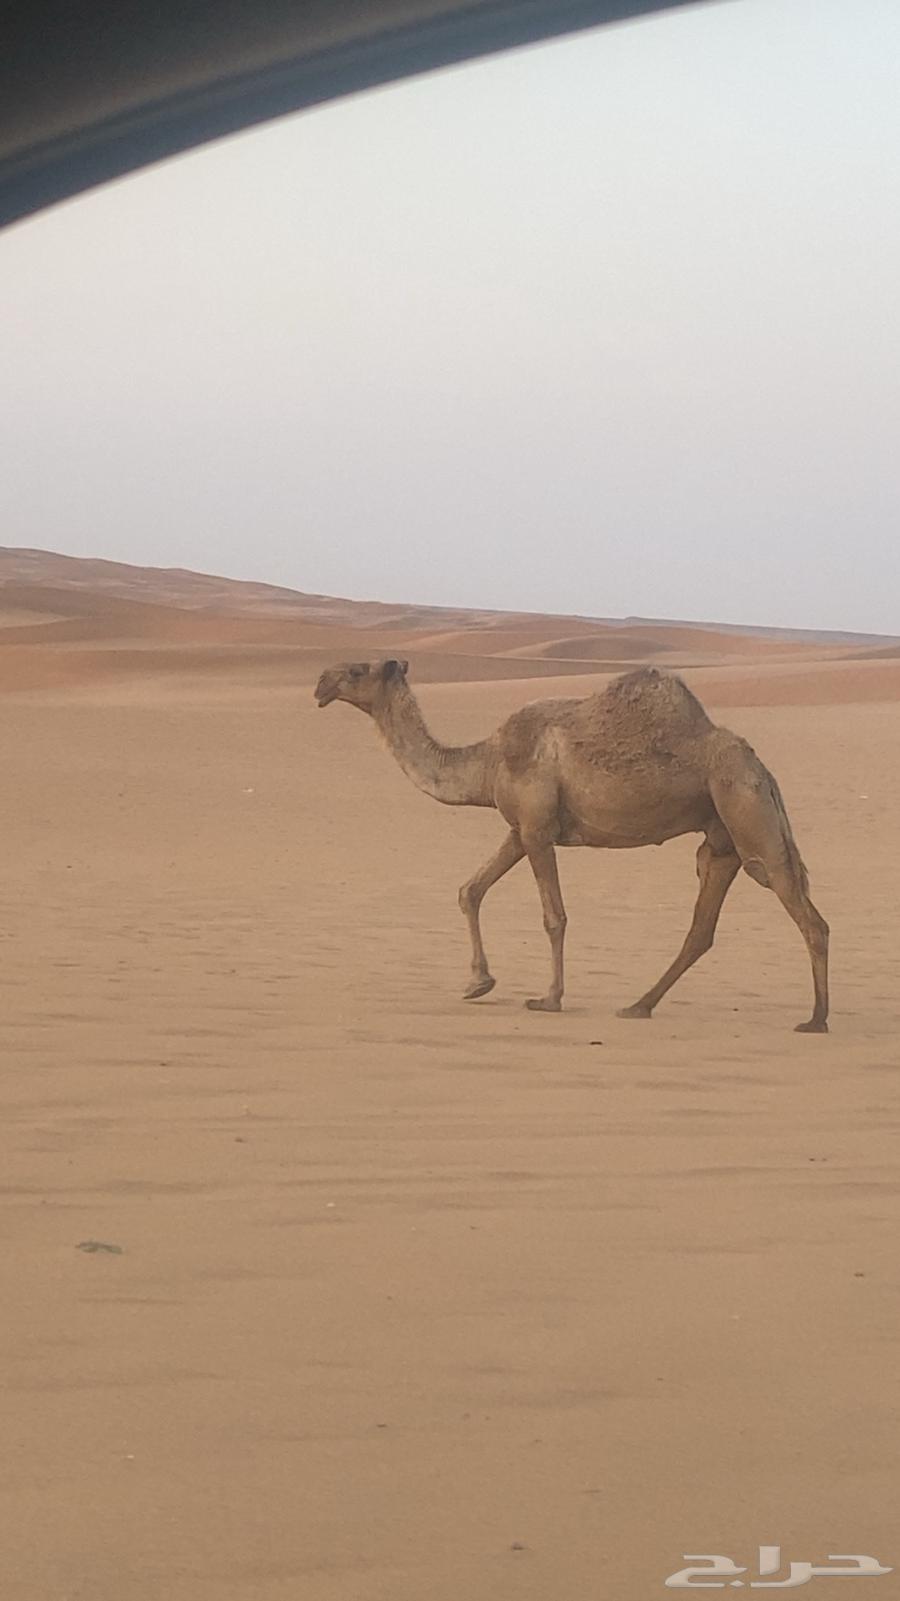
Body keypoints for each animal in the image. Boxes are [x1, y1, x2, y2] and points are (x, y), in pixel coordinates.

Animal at [314, 659, 829, 1032]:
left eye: (357, 670)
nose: (320, 683)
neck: (486, 761)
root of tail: (762, 769)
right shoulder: (520, 828)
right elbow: (470, 890)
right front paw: (478, 983)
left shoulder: (537, 830)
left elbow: (553, 917)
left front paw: (548, 999)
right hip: (721, 838)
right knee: (702, 926)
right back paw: (638, 1006)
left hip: (746, 809)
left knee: (805, 913)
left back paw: (816, 1020)